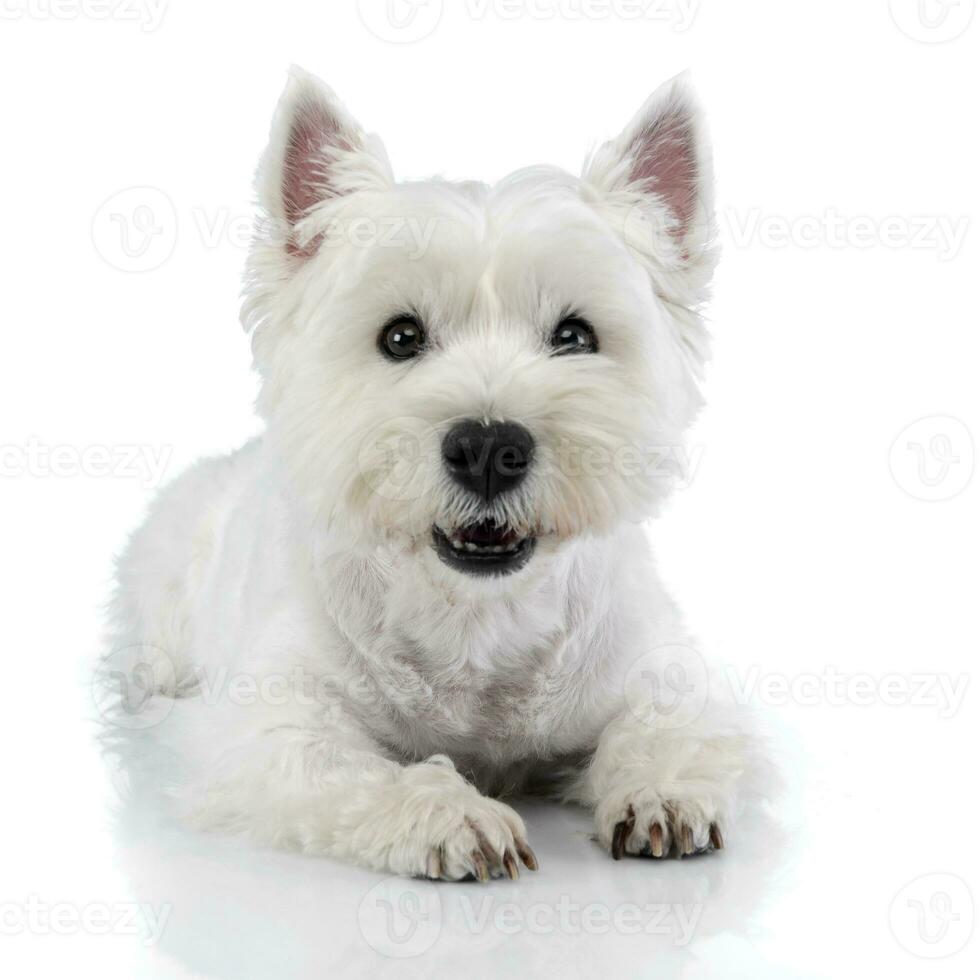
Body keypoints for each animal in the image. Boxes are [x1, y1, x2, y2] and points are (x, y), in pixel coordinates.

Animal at [101, 67, 756, 880]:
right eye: (400, 336)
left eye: (575, 335)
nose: (488, 447)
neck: (477, 619)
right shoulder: (266, 723)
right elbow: (351, 769)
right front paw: (451, 815)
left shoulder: (657, 665)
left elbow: (671, 722)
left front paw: (662, 792)